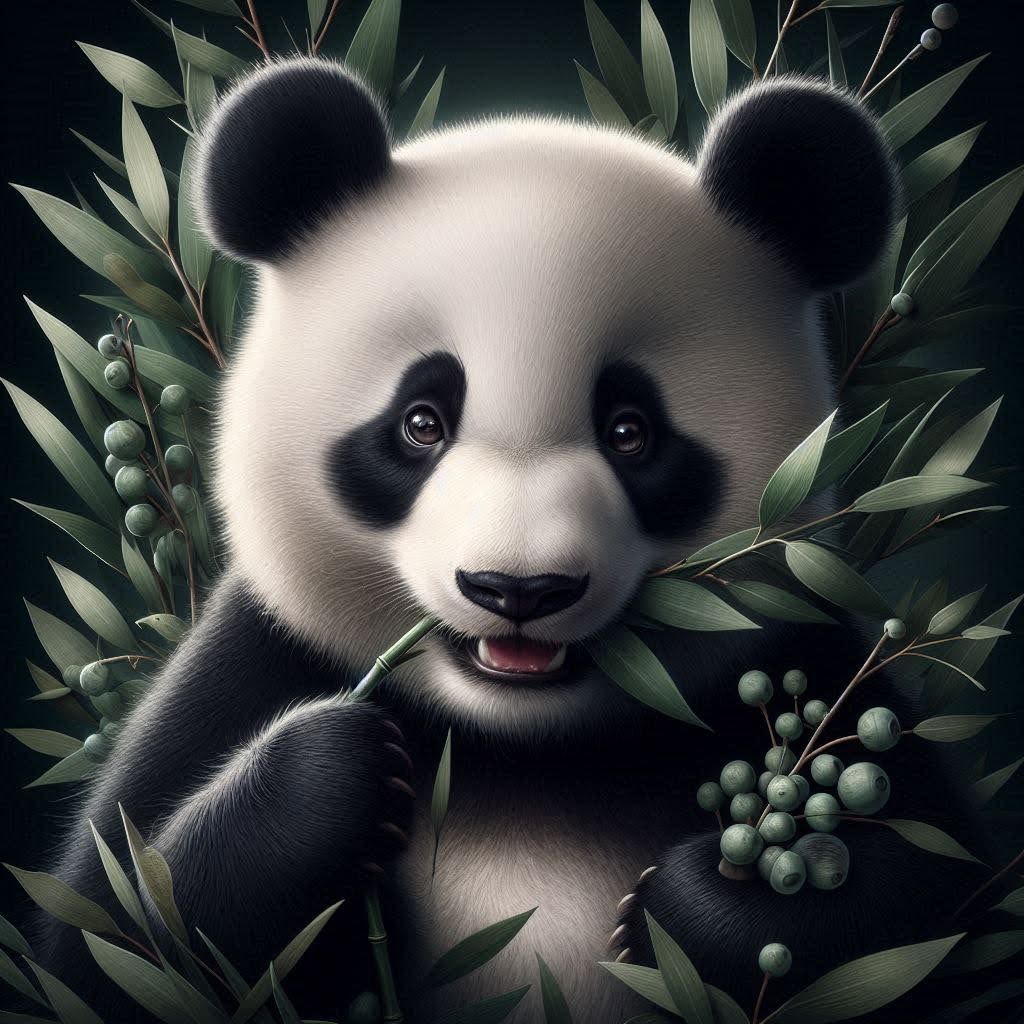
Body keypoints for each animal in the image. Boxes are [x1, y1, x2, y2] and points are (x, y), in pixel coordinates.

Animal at [36, 57, 982, 1022]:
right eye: (421, 422)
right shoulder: (256, 658)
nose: (518, 589)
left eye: (630, 431)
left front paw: (685, 910)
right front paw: (332, 778)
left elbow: (930, 897)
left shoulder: (805, 651)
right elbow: (116, 927)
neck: (517, 745)